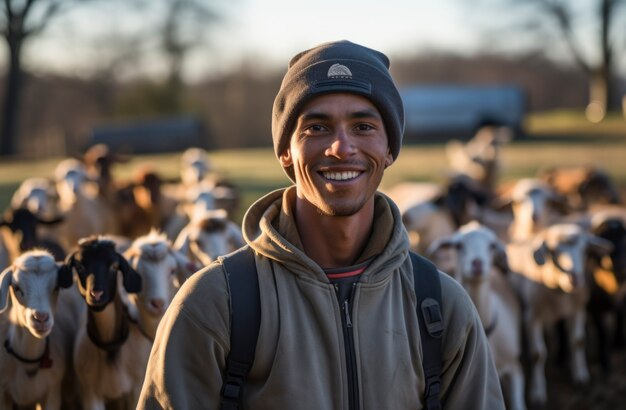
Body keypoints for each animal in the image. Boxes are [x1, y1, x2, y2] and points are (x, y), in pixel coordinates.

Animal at [504, 226, 612, 406]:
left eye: (584, 250)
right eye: (553, 251)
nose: (575, 279)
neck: (561, 292)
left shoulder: (578, 310)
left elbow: (578, 341)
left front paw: (580, 375)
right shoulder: (532, 318)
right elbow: (537, 355)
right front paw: (538, 392)